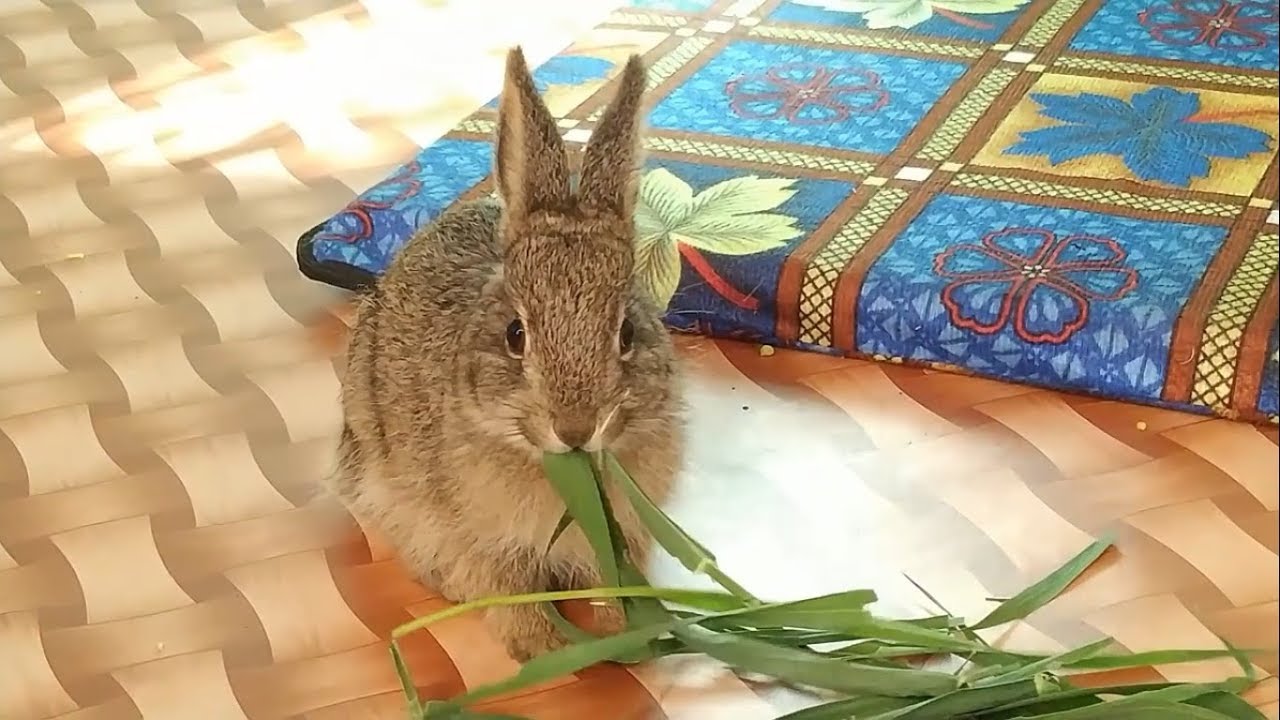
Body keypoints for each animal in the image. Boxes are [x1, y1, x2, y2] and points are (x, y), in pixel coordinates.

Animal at [327, 47, 684, 662]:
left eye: (627, 332)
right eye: (516, 334)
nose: (575, 427)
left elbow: (610, 578)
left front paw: (624, 629)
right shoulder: (482, 539)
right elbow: (506, 589)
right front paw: (542, 647)